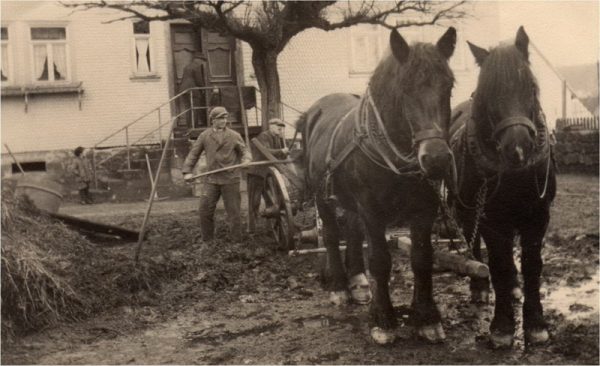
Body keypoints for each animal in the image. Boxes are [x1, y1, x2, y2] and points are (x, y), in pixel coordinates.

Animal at [298, 27, 458, 344]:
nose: (436, 158)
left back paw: (358, 281)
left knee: (352, 230)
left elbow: (422, 259)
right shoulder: (372, 211)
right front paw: (383, 320)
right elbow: (381, 260)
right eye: (405, 88)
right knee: (332, 235)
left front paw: (427, 318)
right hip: (323, 196)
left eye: (448, 86)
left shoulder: (425, 211)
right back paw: (339, 287)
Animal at [448, 26, 556, 348]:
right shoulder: (491, 220)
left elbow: (532, 265)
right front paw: (502, 326)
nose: (518, 148)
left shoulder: (538, 216)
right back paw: (480, 287)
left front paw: (535, 323)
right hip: (467, 211)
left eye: (531, 87)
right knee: (474, 247)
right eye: (488, 94)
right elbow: (499, 265)